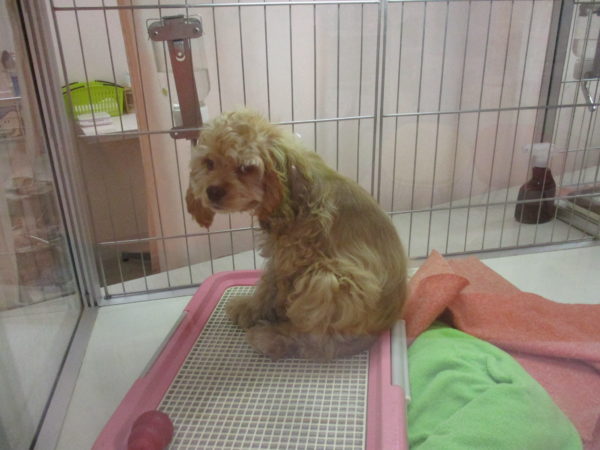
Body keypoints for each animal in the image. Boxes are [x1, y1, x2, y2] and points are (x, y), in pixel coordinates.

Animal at [186, 110, 408, 360]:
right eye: (209, 163)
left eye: (245, 168)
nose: (212, 191)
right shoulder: (278, 255)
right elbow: (268, 285)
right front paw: (250, 308)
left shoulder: (294, 257)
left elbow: (278, 289)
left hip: (330, 280)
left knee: (320, 340)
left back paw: (271, 337)